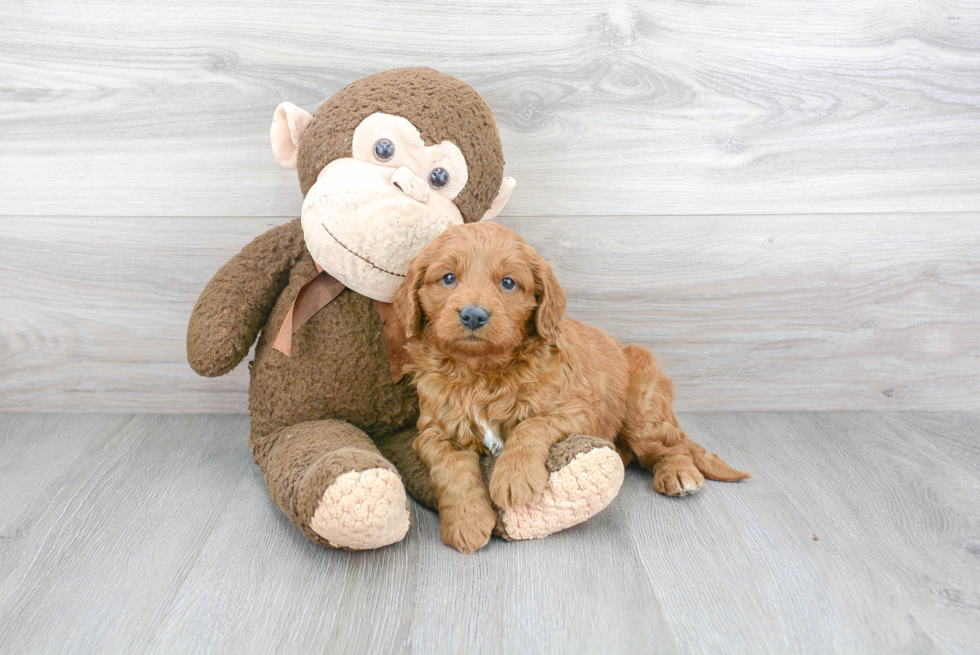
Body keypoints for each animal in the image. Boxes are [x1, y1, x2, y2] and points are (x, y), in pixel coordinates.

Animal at [394, 222, 748, 552]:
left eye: (508, 282)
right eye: (448, 278)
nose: (473, 315)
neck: (483, 372)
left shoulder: (576, 410)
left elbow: (530, 426)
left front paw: (514, 478)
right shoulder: (435, 432)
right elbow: (451, 470)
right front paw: (467, 521)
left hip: (643, 409)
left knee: (669, 446)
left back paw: (677, 474)